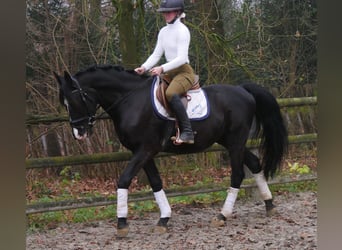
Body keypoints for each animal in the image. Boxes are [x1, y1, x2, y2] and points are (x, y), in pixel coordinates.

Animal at [54, 64, 288, 236]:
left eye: (74, 99)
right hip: (229, 141)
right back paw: (269, 204)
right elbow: (156, 183)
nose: (79, 133)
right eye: (64, 103)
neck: (130, 100)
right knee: (255, 163)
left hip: (236, 141)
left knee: (238, 174)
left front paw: (121, 224)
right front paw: (164, 218)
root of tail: (243, 90)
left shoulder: (146, 149)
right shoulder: (142, 152)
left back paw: (222, 216)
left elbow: (124, 179)